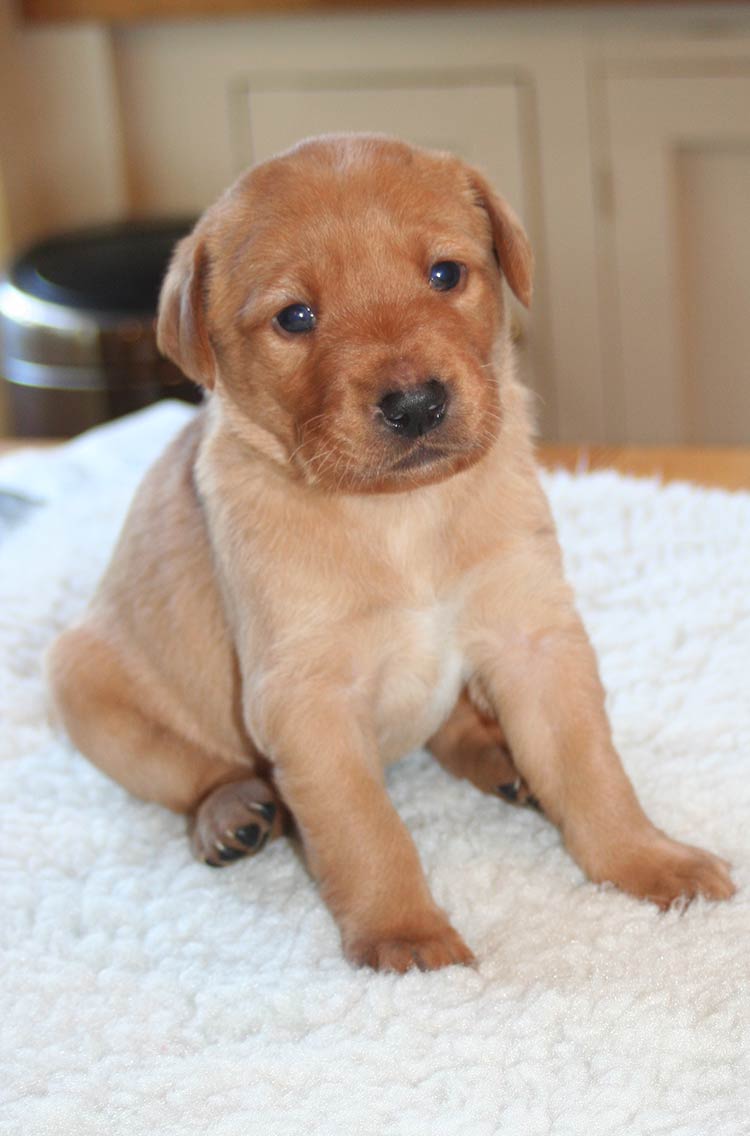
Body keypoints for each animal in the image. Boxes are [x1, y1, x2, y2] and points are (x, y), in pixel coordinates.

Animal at [48, 130, 736, 967]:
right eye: (295, 316)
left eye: (445, 274)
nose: (415, 404)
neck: (402, 514)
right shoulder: (306, 698)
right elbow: (364, 829)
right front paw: (405, 936)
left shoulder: (533, 634)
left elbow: (592, 770)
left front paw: (648, 861)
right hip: (81, 683)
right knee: (190, 774)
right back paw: (231, 812)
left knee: (453, 730)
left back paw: (505, 763)